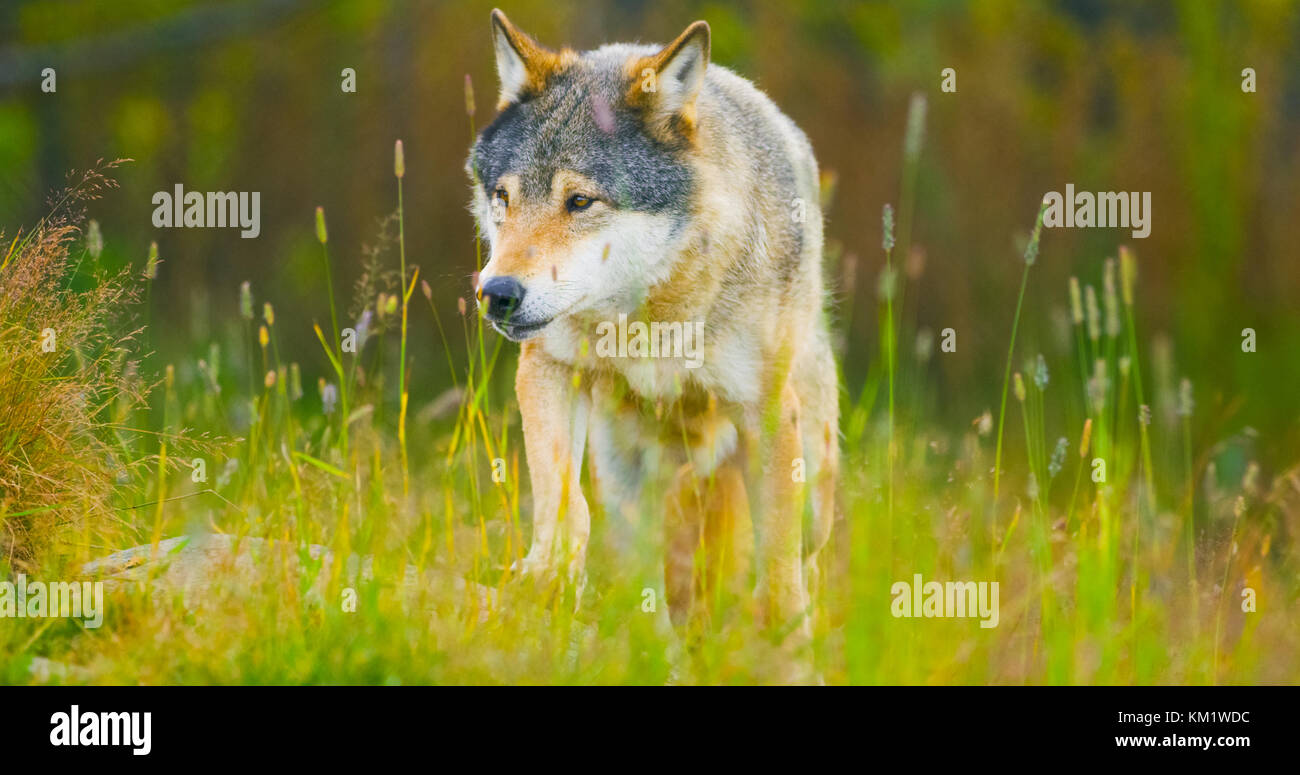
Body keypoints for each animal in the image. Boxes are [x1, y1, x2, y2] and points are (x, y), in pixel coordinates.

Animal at [470, 9, 842, 644]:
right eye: (503, 198)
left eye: (580, 202)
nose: (496, 295)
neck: (650, 322)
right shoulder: (548, 369)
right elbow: (564, 506)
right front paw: (544, 579)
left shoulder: (767, 413)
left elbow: (778, 562)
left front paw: (786, 643)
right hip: (628, 480)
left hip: (813, 475)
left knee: (804, 557)